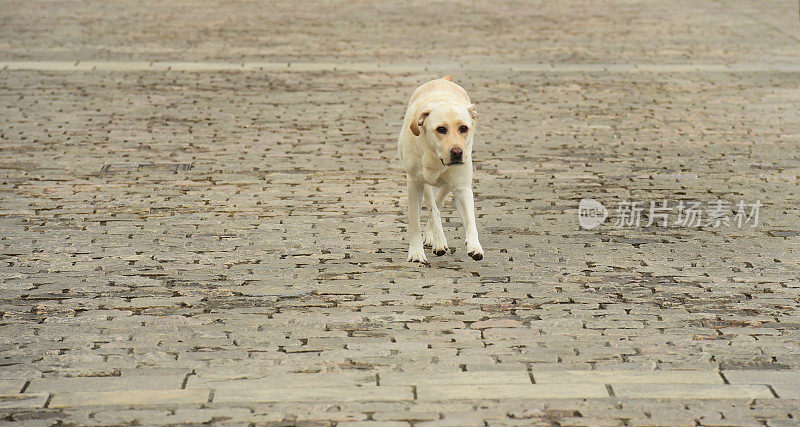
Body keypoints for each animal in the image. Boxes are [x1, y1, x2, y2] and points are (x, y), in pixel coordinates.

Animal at [398, 77, 482, 264]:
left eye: (464, 128)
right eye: (441, 129)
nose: (457, 152)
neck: (436, 156)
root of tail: (442, 80)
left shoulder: (462, 186)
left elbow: (470, 220)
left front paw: (475, 246)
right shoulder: (414, 183)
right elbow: (415, 221)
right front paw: (416, 253)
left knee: (440, 199)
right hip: (422, 179)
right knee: (432, 204)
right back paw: (437, 239)